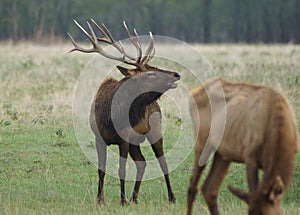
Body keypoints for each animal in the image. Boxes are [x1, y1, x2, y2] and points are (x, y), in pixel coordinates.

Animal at [68, 19, 178, 205]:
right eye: (150, 74)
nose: (176, 74)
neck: (111, 117)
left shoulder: (124, 139)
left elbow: (121, 170)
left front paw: (122, 200)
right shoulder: (99, 138)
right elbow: (101, 169)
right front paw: (100, 199)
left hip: (155, 129)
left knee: (162, 162)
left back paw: (171, 197)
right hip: (135, 140)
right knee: (142, 163)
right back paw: (134, 197)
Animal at [186, 77, 298, 215]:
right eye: (250, 212)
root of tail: (194, 92)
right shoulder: (250, 156)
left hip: (223, 154)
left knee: (209, 189)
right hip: (202, 142)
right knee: (193, 186)